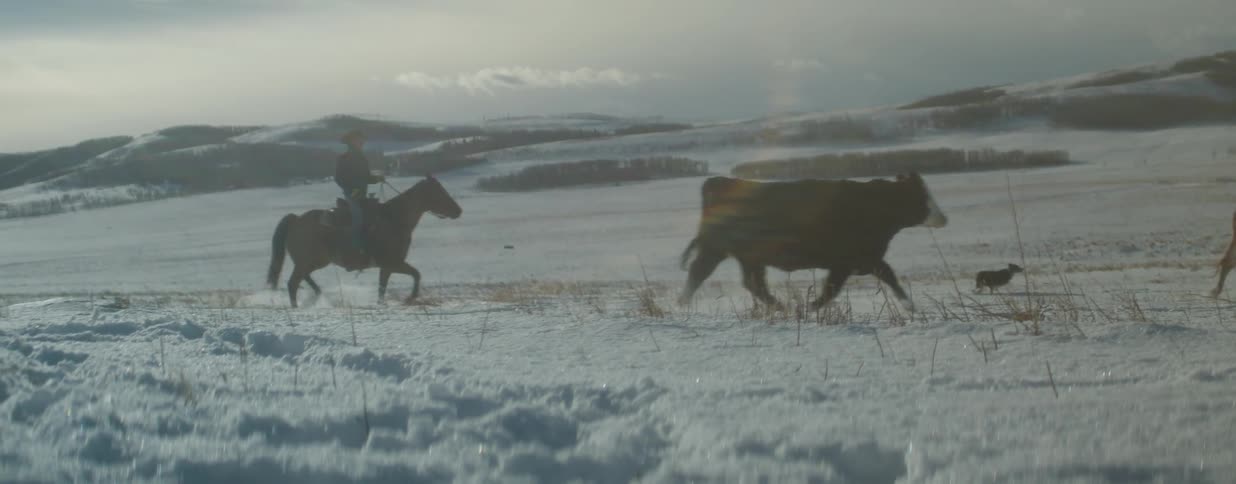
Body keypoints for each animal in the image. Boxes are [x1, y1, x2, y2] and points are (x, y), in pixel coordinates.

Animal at [678, 172, 947, 311]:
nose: (943, 218)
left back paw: (781, 306)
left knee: (754, 284)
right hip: (716, 249)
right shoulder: (853, 259)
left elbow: (882, 276)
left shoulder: (861, 259)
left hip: (748, 257)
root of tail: (719, 180)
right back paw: (683, 305)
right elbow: (834, 289)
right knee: (699, 272)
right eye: (922, 197)